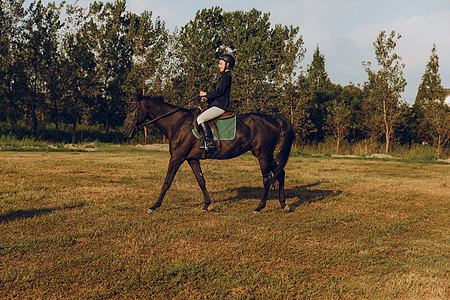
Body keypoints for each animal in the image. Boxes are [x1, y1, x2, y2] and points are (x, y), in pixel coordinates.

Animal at [121, 94, 296, 213]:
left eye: (132, 110)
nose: (124, 131)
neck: (177, 124)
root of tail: (271, 118)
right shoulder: (192, 159)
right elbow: (201, 181)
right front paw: (206, 205)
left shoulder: (176, 158)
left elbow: (167, 182)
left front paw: (154, 206)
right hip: (266, 155)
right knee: (280, 173)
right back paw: (283, 204)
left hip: (262, 155)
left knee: (267, 179)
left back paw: (259, 207)